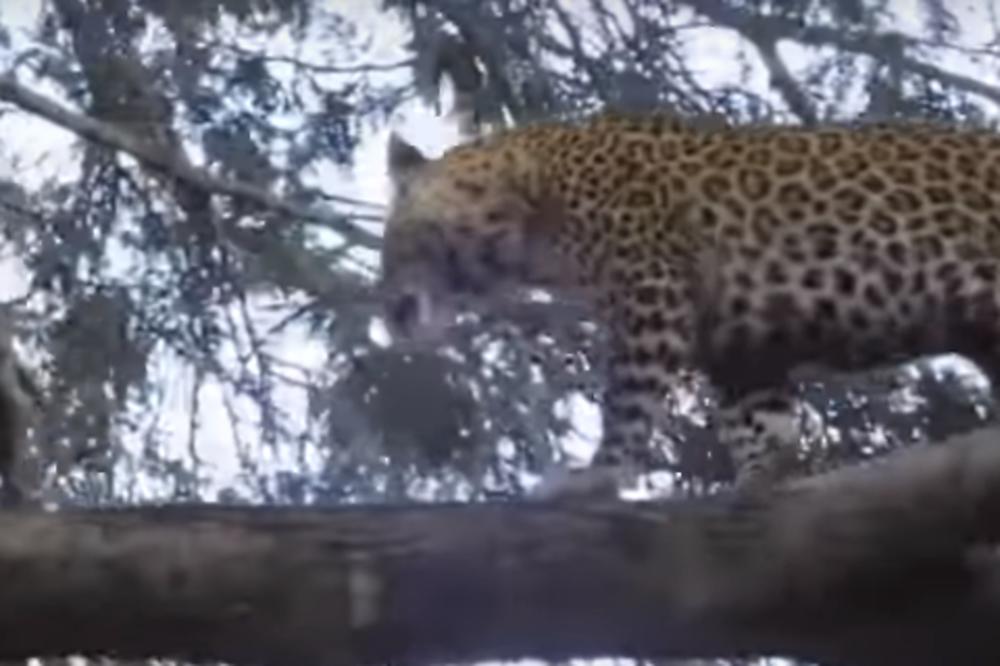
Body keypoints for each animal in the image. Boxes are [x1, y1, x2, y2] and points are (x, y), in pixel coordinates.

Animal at [378, 109, 1000, 498]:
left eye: (394, 243)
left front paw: (598, 476)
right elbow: (759, 418)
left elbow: (627, 403)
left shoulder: (649, 292)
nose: (387, 314)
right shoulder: (737, 344)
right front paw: (765, 474)